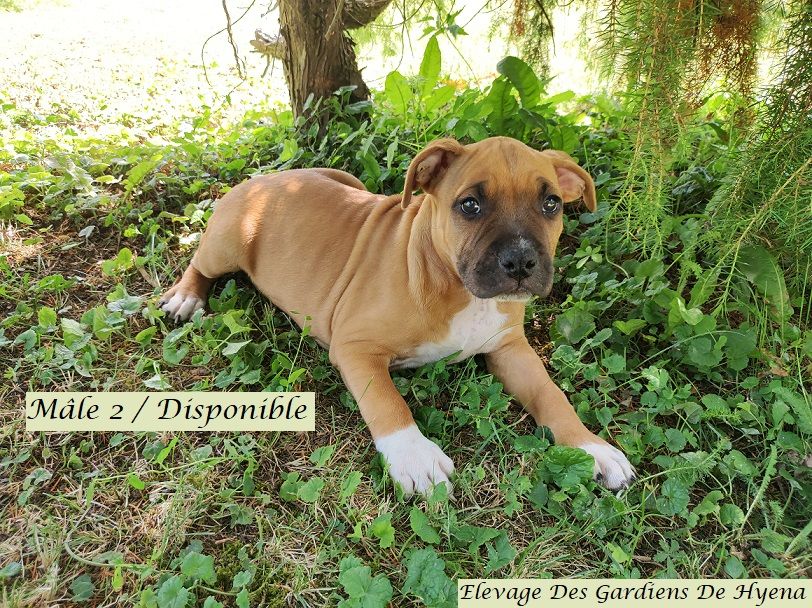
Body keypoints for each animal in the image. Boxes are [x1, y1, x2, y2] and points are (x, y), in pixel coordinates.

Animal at [159, 136, 635, 495]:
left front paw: (590, 446)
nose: (520, 262)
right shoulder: (355, 346)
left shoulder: (510, 348)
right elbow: (387, 400)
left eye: (551, 203)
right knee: (200, 262)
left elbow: (552, 395)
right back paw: (185, 297)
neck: (461, 291)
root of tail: (265, 180)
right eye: (470, 205)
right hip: (227, 244)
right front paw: (414, 455)